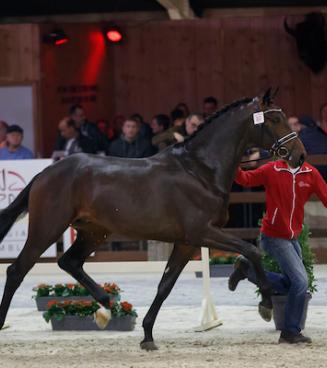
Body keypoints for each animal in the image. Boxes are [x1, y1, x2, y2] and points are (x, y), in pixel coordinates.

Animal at [0, 88, 306, 348]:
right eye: (275, 118)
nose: (299, 156)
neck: (199, 170)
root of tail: (45, 173)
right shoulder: (202, 233)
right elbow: (252, 251)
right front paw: (266, 306)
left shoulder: (186, 243)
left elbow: (165, 285)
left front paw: (147, 335)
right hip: (47, 229)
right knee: (17, 271)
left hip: (94, 232)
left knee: (70, 262)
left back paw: (107, 305)